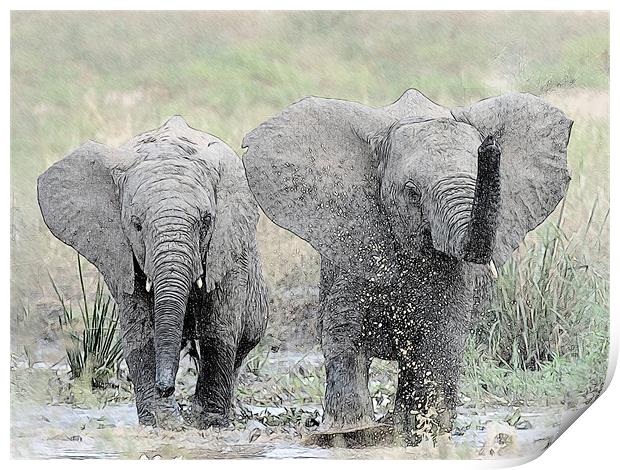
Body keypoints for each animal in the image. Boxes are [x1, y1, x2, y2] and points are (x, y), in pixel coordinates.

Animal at [37, 115, 268, 428]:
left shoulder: (228, 249)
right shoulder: (121, 254)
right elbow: (141, 332)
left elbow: (217, 329)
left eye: (206, 221)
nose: (165, 387)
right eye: (136, 225)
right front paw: (162, 422)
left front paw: (207, 422)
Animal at [241, 89, 572, 444]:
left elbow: (441, 339)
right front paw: (351, 434)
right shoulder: (355, 244)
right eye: (412, 193)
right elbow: (344, 333)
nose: (489, 145)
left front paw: (420, 436)